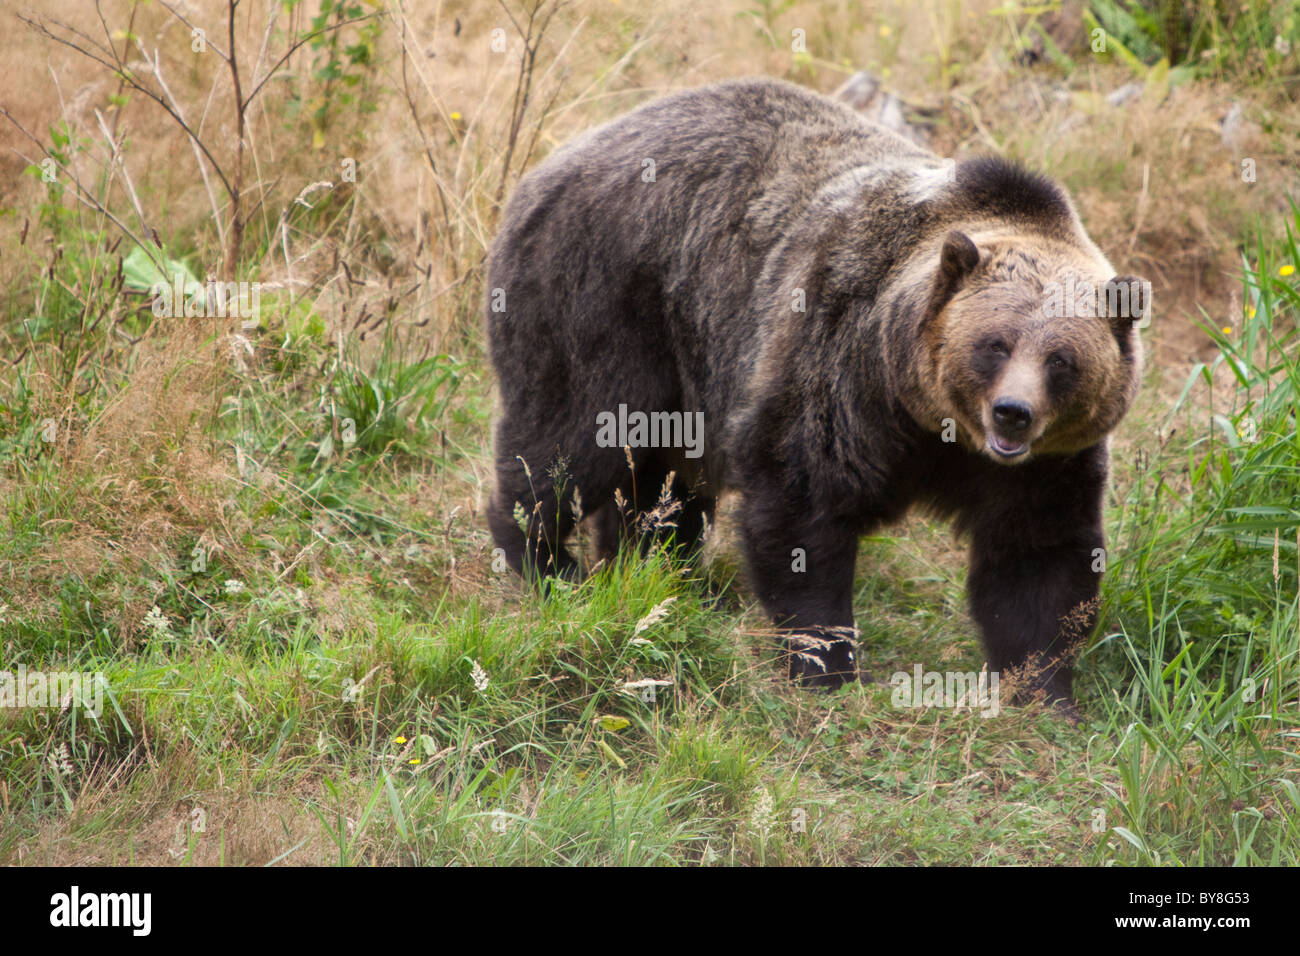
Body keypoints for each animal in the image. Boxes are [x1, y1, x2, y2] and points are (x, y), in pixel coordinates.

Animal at [484, 77, 1145, 713]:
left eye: (1061, 360)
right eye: (995, 344)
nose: (1013, 414)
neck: (933, 424)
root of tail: (559, 155)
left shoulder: (1044, 464)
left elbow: (1037, 555)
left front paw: (1044, 689)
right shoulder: (840, 362)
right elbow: (802, 502)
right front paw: (826, 663)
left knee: (658, 491)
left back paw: (646, 566)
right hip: (608, 300)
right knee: (571, 439)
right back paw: (548, 564)